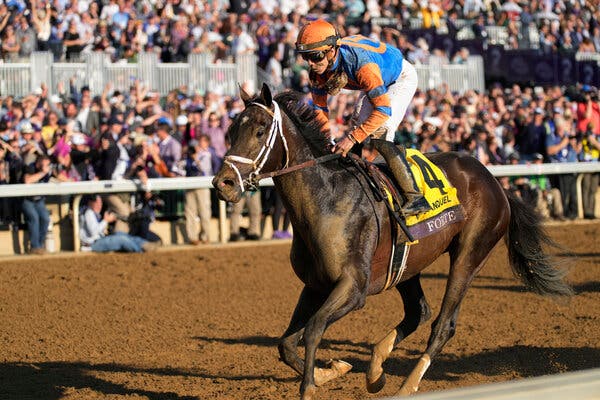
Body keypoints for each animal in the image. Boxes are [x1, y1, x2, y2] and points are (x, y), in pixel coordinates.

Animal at [211, 83, 572, 398]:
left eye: (260, 130)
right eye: (230, 131)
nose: (223, 183)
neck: (327, 199)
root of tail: (493, 180)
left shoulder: (353, 288)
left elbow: (313, 330)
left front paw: (312, 386)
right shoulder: (315, 284)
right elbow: (286, 344)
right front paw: (333, 371)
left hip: (470, 254)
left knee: (442, 324)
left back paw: (406, 386)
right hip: (408, 265)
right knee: (419, 312)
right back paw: (375, 370)